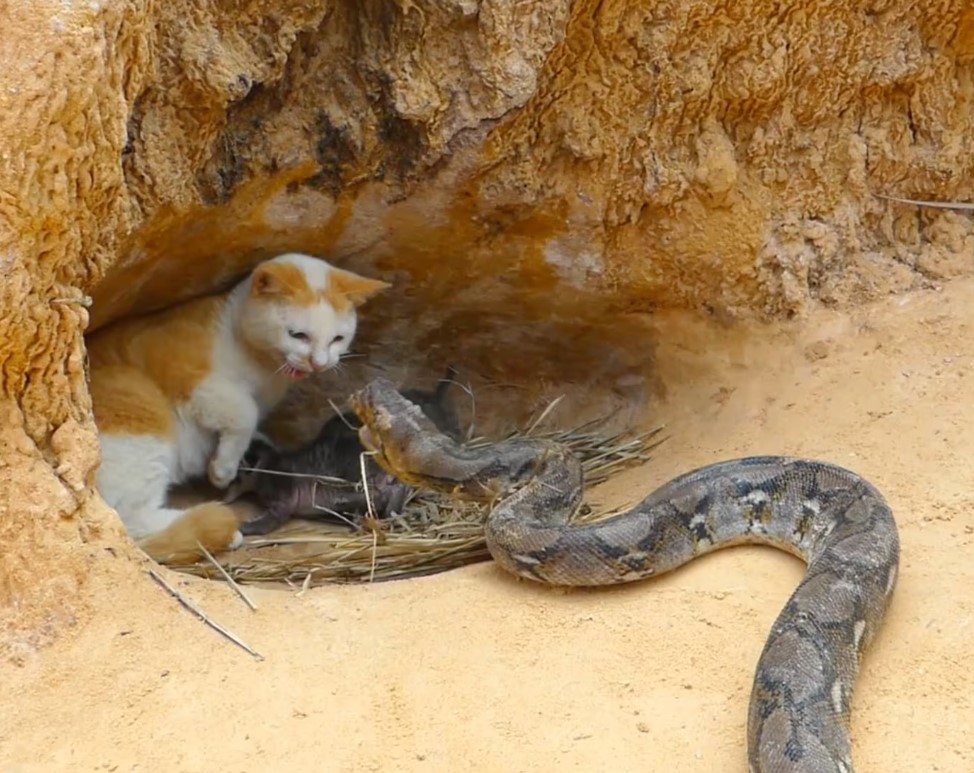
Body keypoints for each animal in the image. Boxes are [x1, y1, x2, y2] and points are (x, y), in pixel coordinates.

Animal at [85, 252, 388, 560]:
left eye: (337, 339)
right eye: (298, 335)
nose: (319, 363)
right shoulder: (192, 379)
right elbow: (245, 412)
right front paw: (222, 470)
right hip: (139, 402)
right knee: (130, 523)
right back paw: (219, 529)